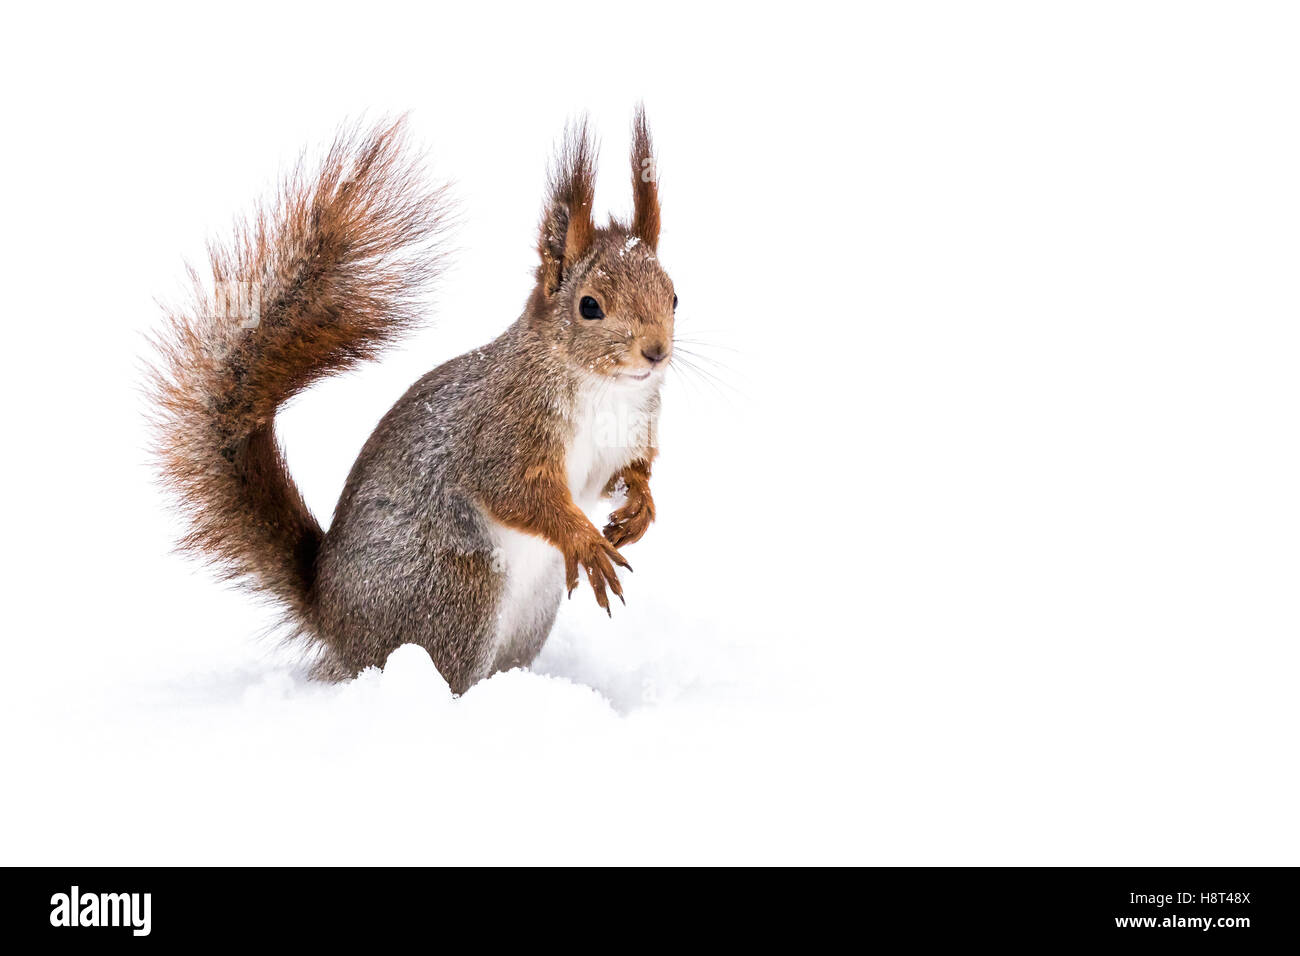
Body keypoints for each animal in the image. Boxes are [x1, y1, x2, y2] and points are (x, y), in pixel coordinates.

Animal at [149, 111, 681, 691]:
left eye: (675, 296)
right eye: (589, 306)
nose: (656, 352)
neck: (604, 388)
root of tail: (335, 625)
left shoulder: (634, 432)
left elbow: (628, 473)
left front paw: (640, 507)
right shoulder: (504, 427)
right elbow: (516, 492)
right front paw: (583, 539)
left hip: (528, 614)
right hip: (457, 590)